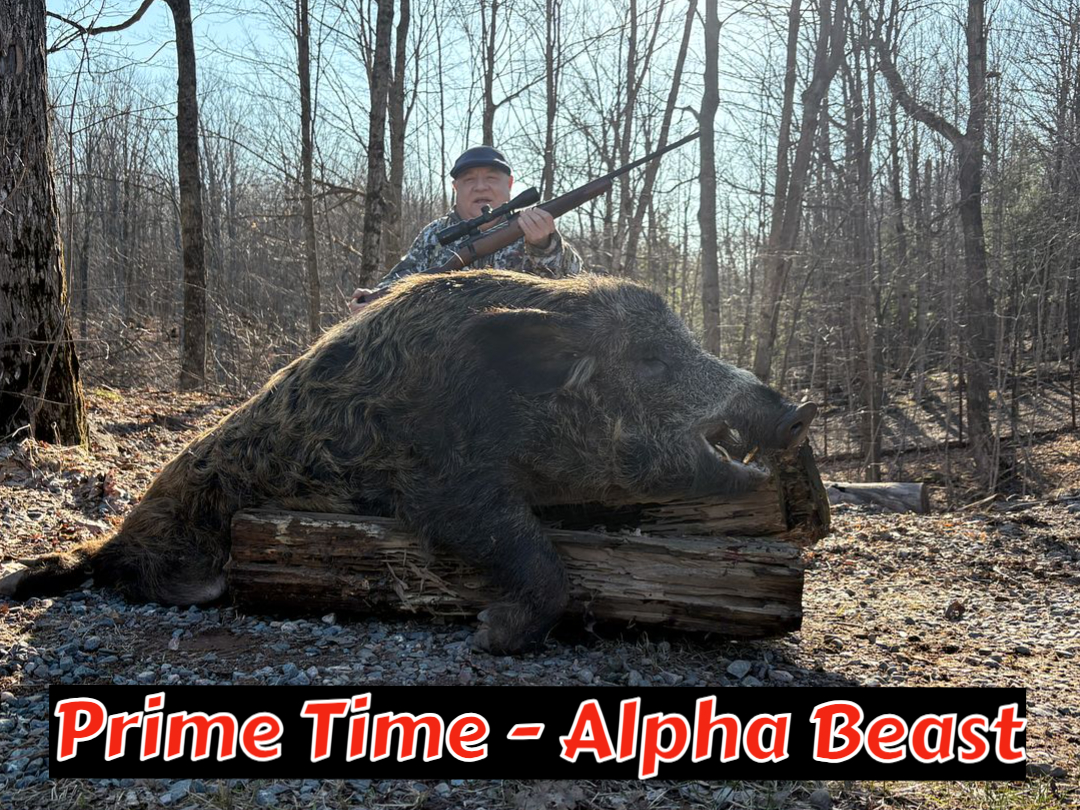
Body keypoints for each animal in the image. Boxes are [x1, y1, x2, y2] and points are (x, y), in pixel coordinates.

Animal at [0, 270, 816, 652]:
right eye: (648, 358)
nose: (798, 411)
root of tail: (114, 536)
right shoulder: (443, 482)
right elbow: (532, 552)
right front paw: (490, 635)